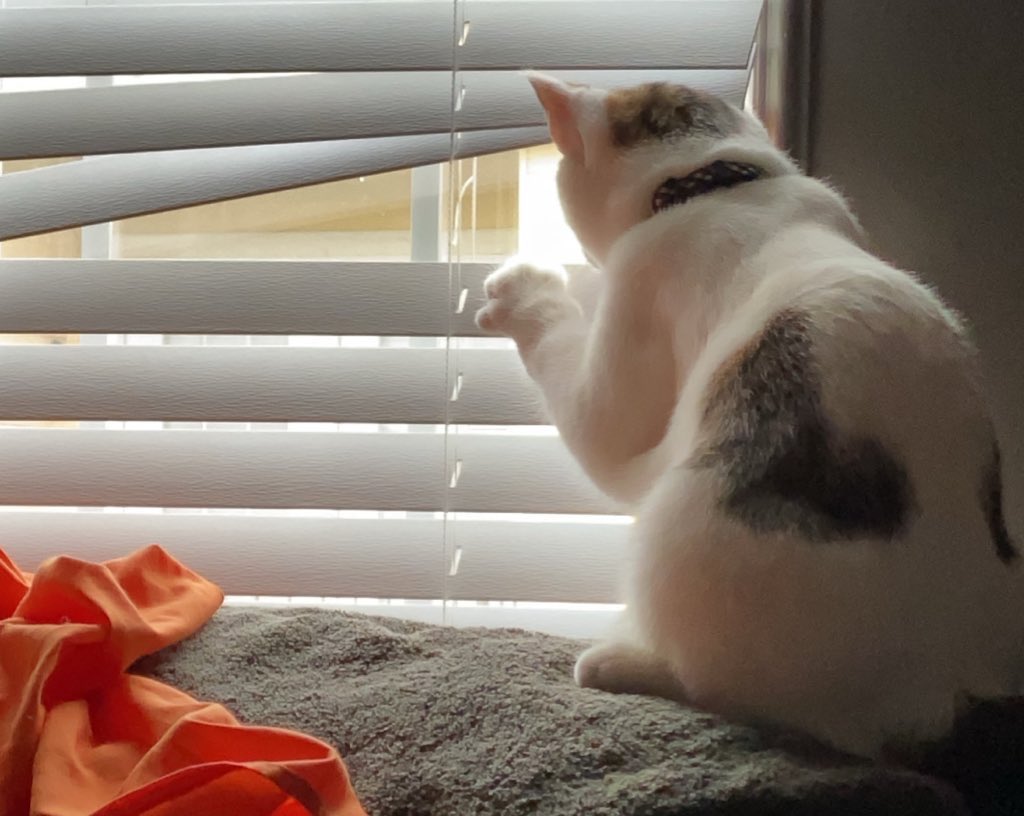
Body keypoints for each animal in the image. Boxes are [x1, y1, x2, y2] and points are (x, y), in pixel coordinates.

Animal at [475, 73, 1019, 761]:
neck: (720, 184)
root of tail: (951, 685)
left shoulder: (633, 309)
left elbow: (589, 407)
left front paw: (524, 288)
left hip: (675, 525)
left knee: (728, 687)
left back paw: (618, 661)